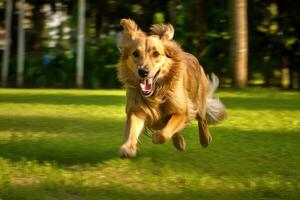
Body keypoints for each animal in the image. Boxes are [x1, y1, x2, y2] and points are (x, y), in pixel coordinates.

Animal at [117, 19, 225, 159]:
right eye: (135, 54)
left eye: (156, 53)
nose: (143, 72)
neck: (156, 93)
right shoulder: (138, 109)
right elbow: (133, 129)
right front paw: (128, 148)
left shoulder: (182, 110)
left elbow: (163, 133)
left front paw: (156, 137)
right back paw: (179, 142)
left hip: (199, 102)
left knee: (202, 120)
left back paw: (205, 139)